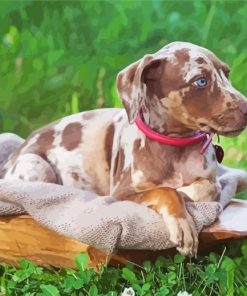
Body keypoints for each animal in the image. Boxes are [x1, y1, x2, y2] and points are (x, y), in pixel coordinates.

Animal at [1, 41, 247, 254]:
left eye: (227, 74)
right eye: (200, 81)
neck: (175, 148)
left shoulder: (210, 179)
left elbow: (208, 188)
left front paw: (187, 194)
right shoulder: (121, 195)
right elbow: (165, 191)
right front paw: (183, 224)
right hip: (36, 165)